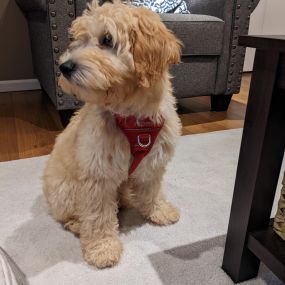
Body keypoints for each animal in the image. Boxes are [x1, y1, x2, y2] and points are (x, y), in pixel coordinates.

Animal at [43, 0, 182, 268]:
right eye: (78, 40)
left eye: (107, 40)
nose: (64, 67)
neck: (132, 117)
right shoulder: (97, 174)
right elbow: (98, 216)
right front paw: (102, 248)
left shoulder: (153, 161)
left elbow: (152, 189)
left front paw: (159, 210)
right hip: (66, 190)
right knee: (71, 214)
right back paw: (77, 223)